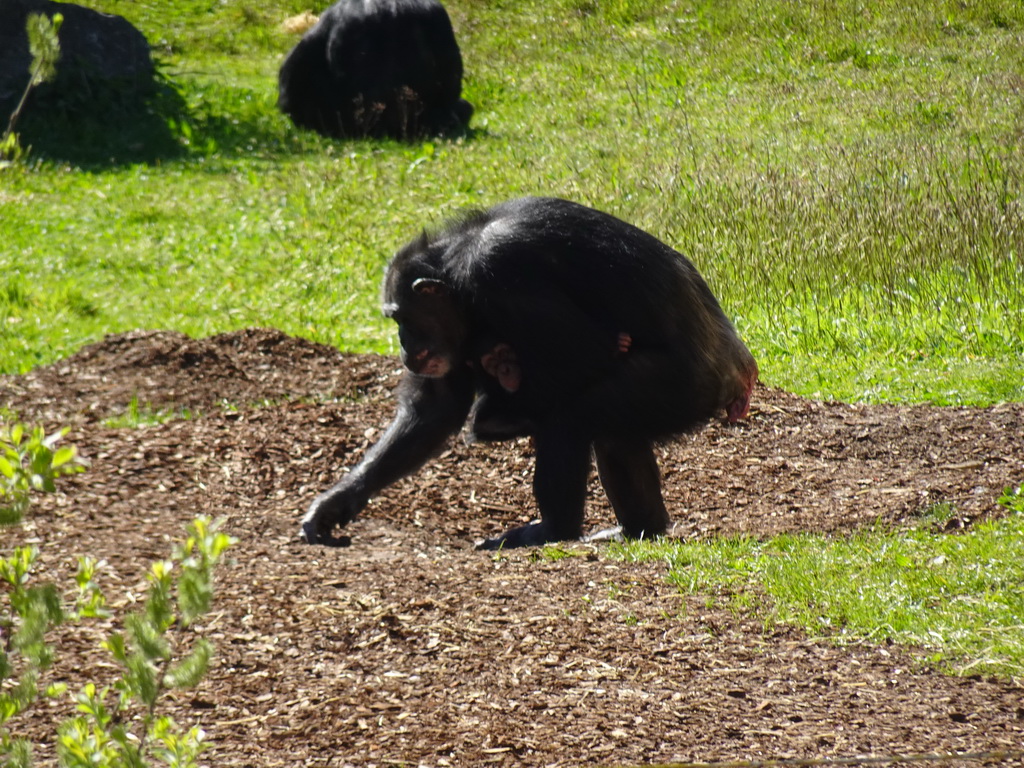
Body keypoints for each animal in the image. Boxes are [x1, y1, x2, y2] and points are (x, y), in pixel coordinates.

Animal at [299, 195, 757, 548]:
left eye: (402, 319)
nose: (404, 345)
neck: (459, 265)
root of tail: (741, 373)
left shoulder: (500, 272)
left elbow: (589, 353)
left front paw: (500, 411)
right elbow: (435, 408)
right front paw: (336, 502)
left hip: (681, 386)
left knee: (573, 418)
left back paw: (552, 528)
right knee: (616, 437)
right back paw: (638, 528)